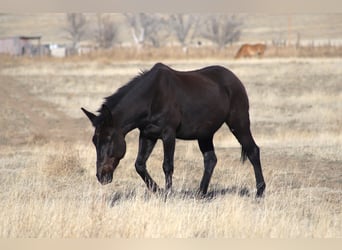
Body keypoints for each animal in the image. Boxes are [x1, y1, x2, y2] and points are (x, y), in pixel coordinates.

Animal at [81, 62, 266, 197]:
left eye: (109, 139)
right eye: (94, 141)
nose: (101, 176)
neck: (152, 97)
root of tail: (235, 79)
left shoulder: (168, 135)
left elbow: (167, 165)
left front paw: (168, 194)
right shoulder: (147, 135)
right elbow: (139, 165)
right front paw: (158, 190)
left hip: (238, 123)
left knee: (252, 151)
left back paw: (260, 192)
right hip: (205, 134)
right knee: (210, 160)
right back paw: (200, 193)